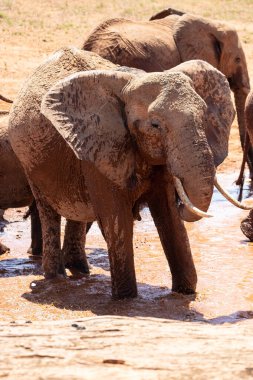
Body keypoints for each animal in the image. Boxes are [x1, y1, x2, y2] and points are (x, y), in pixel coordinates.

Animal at [8, 46, 237, 298]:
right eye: (155, 125)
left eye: (204, 117)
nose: (183, 201)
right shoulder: (100, 148)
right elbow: (117, 220)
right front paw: (126, 299)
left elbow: (169, 217)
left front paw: (185, 294)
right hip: (28, 158)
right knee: (48, 211)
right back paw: (56, 278)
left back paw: (80, 272)